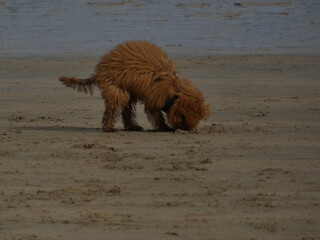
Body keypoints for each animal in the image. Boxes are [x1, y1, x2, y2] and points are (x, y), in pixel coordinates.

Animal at [58, 40, 210, 132]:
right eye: (185, 118)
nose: (187, 129)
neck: (173, 88)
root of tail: (100, 68)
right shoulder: (153, 100)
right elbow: (157, 116)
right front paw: (165, 128)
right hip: (117, 90)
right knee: (111, 110)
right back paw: (109, 128)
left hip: (128, 92)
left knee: (126, 110)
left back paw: (132, 126)